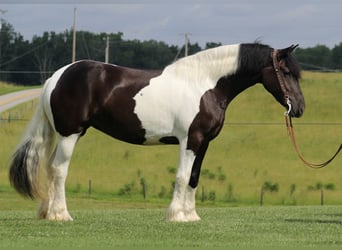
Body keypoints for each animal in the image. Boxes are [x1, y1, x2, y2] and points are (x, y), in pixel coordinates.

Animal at [8, 42, 304, 222]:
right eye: (286, 71)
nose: (299, 108)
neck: (205, 84)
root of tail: (56, 77)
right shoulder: (190, 140)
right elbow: (183, 176)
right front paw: (176, 215)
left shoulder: (204, 143)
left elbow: (194, 178)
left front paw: (191, 215)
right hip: (70, 134)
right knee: (59, 170)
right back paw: (61, 215)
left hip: (63, 135)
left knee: (49, 168)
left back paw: (48, 213)